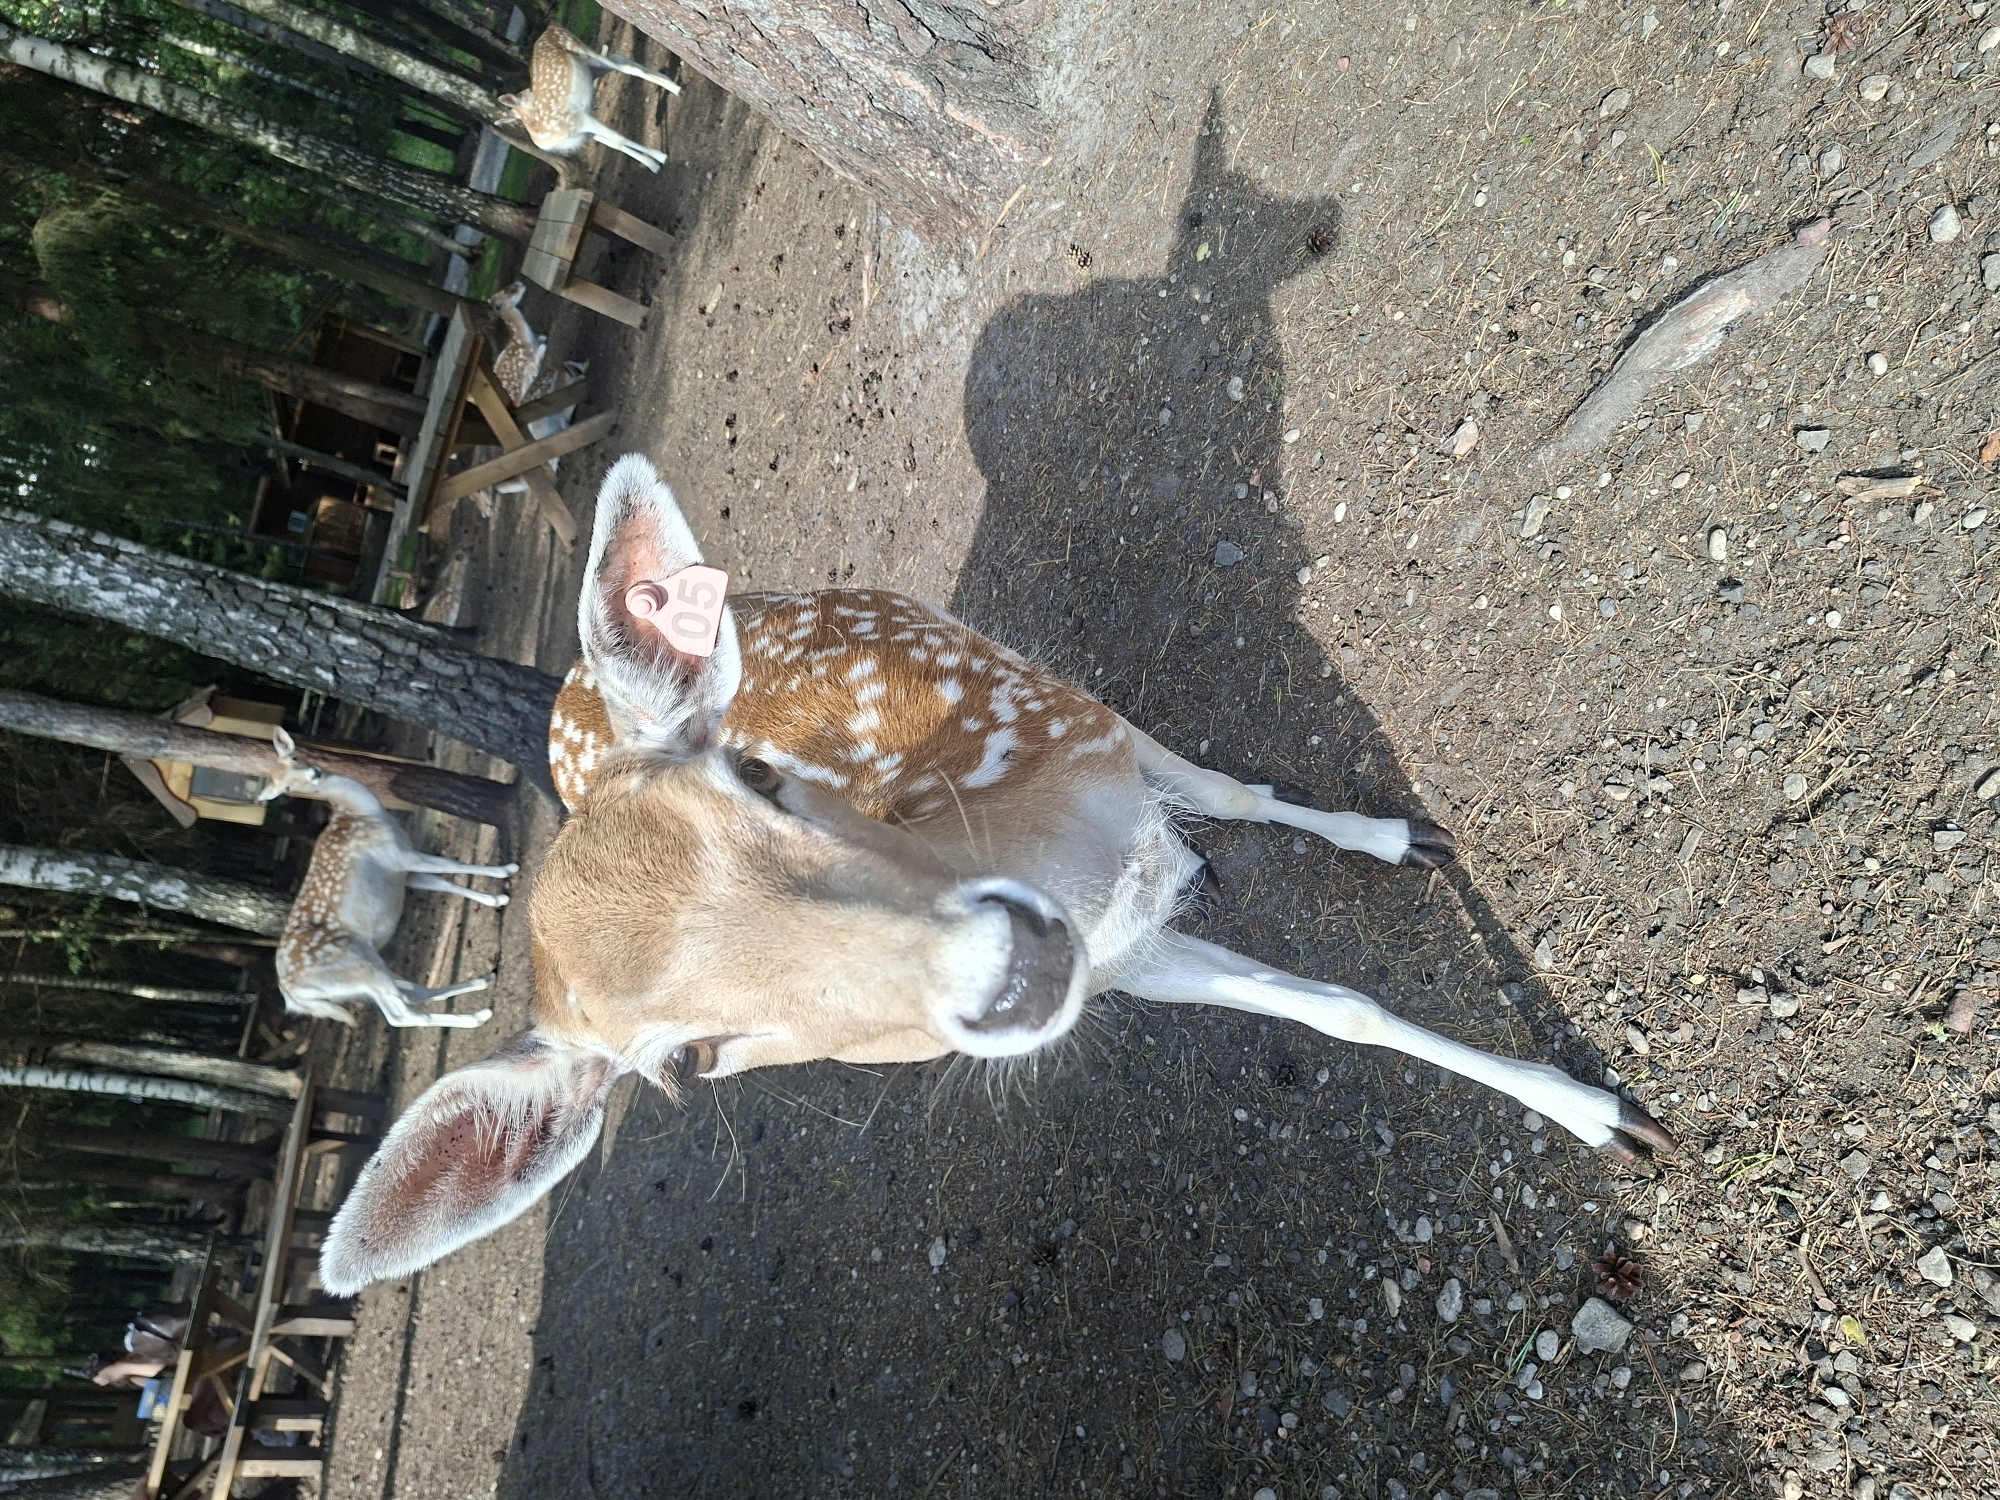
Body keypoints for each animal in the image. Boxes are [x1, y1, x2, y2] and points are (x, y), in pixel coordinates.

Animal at [260, 728, 518, 1030]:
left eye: (294, 757)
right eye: (286, 789)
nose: (314, 773)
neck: (369, 814)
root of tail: (292, 995)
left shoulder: (403, 873)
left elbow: (445, 882)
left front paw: (496, 898)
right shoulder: (400, 857)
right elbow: (450, 864)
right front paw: (507, 871)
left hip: (364, 972)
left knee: (411, 995)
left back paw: (484, 980)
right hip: (358, 964)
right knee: (401, 1014)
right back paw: (479, 1016)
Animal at [317, 454, 1674, 1294]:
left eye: (754, 772)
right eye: (684, 1065)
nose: (1003, 968)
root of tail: (562, 696)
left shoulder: (1089, 725)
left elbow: (1246, 824)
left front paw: (1404, 851)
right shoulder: (1126, 963)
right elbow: (1325, 1006)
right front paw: (1600, 1117)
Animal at [498, 24, 679, 173]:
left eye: (529, 89)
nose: (535, 92)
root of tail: (551, 27)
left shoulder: (580, 119)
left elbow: (618, 138)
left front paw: (660, 158)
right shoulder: (585, 134)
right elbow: (617, 145)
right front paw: (653, 163)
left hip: (582, 49)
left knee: (625, 68)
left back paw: (675, 88)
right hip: (594, 68)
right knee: (620, 59)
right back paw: (668, 80)